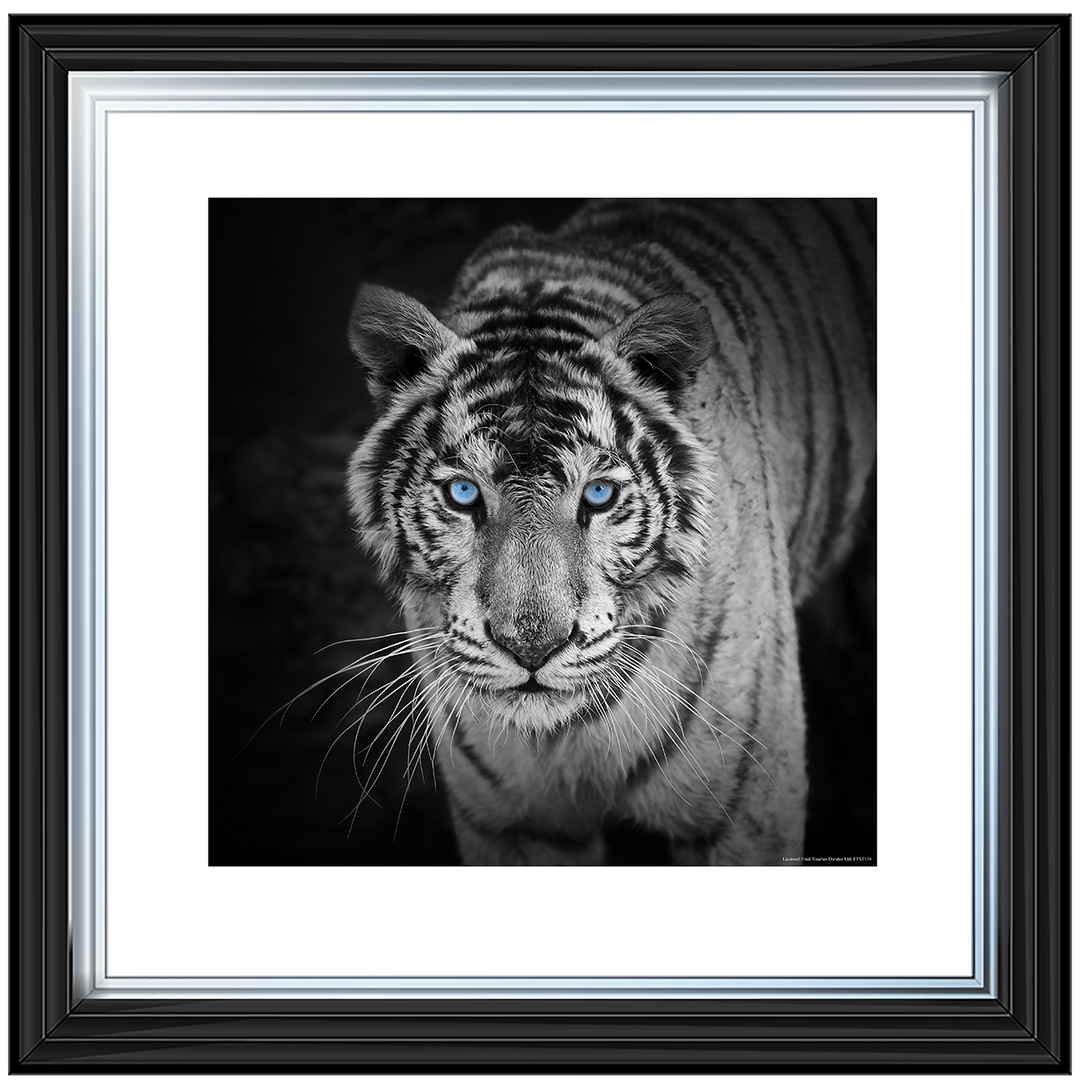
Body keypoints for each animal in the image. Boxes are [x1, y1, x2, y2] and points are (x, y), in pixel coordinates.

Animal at [344, 199, 875, 865]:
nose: (532, 649)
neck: (564, 735)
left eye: (597, 495)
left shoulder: (743, 810)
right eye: (463, 493)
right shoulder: (513, 822)